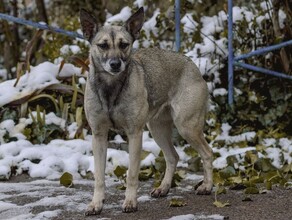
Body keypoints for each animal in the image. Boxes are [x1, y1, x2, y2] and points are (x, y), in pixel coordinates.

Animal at [79, 6, 212, 215]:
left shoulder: (134, 134)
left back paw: (207, 186)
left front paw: (130, 202)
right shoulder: (99, 135)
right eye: (103, 45)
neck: (111, 88)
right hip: (157, 129)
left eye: (124, 45)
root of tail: (192, 65)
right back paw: (163, 188)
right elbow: (99, 177)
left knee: (207, 153)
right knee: (173, 157)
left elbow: (132, 174)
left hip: (187, 127)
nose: (115, 64)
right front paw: (96, 204)